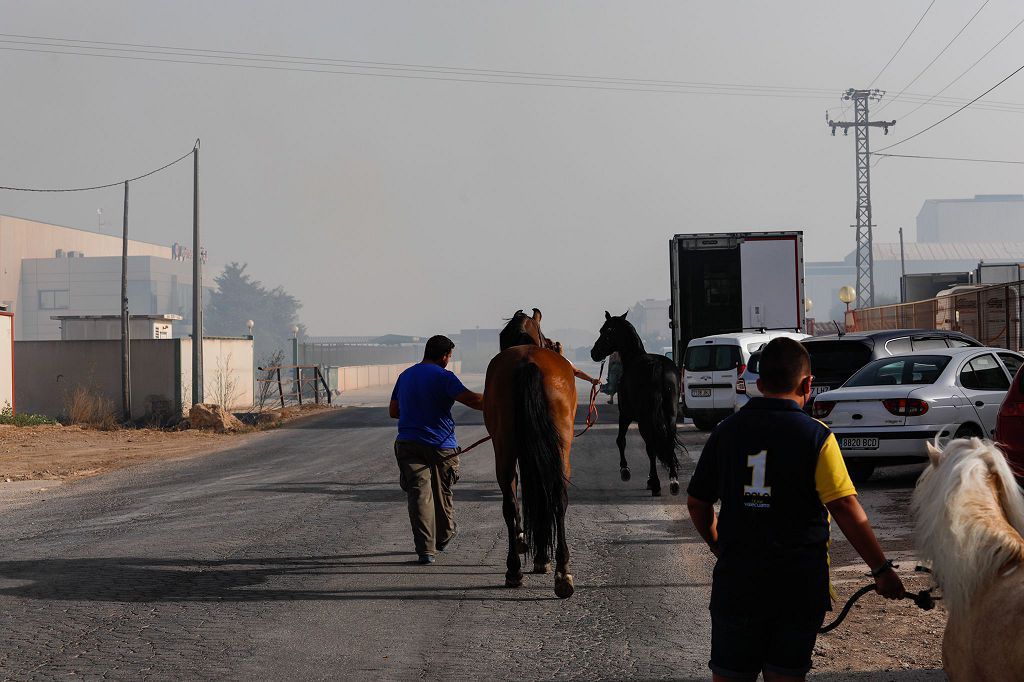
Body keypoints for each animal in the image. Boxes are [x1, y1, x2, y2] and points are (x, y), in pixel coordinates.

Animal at [485, 307, 577, 593]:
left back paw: (514, 569)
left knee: (510, 503)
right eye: (547, 339)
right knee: (557, 499)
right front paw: (541, 559)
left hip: (504, 448)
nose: (555, 345)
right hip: (560, 450)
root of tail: (528, 363)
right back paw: (561, 571)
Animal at [589, 311, 684, 493]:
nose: (593, 352)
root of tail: (658, 367)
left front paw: (625, 470)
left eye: (605, 331)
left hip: (645, 417)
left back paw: (655, 482)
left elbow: (621, 440)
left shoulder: (625, 415)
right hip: (670, 415)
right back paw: (673, 480)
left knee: (651, 445)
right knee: (667, 441)